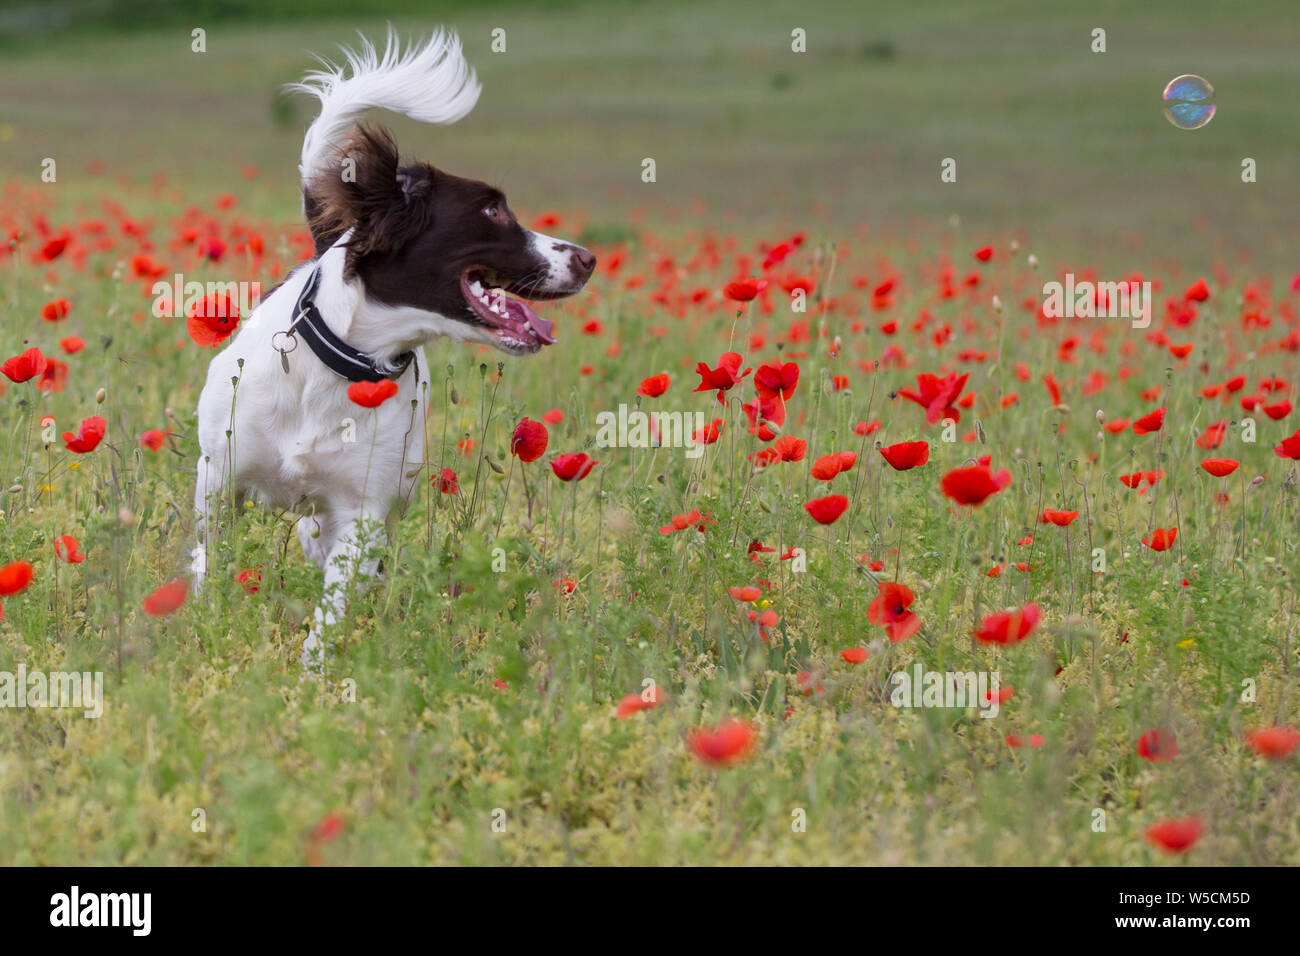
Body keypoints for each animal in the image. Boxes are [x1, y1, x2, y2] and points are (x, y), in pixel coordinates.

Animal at [189, 29, 595, 665]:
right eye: (492, 209)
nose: (589, 258)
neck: (337, 367)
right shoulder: (217, 482)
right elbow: (209, 568)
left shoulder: (360, 515)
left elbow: (329, 614)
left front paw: (312, 677)